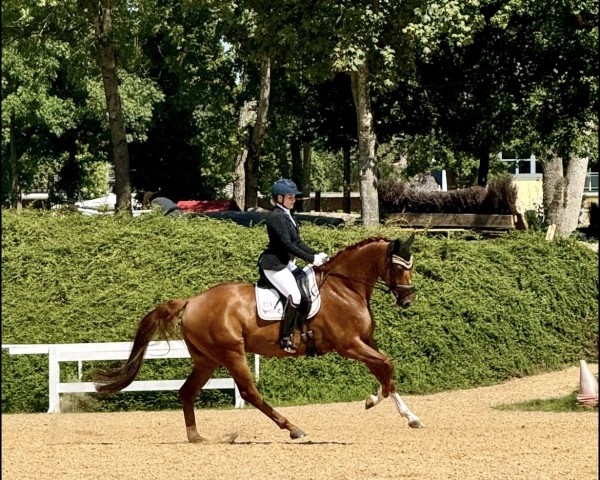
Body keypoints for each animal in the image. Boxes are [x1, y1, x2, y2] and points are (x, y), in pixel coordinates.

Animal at [94, 234, 422, 440]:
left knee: (187, 392)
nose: (408, 301)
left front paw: (408, 415)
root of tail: (192, 301)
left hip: (207, 359)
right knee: (250, 392)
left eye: (412, 266)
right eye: (397, 267)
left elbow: (384, 371)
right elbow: (387, 366)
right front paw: (373, 401)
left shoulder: (365, 342)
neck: (345, 287)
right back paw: (292, 428)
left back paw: (196, 437)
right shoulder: (349, 345)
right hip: (231, 353)